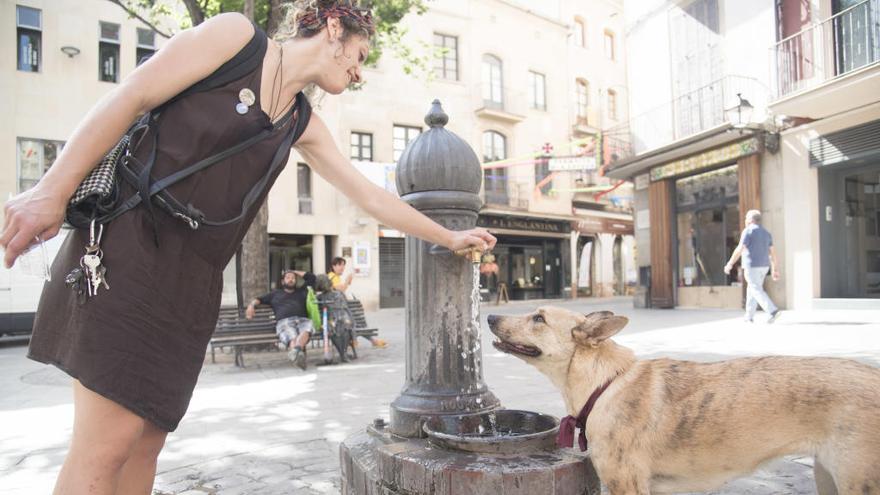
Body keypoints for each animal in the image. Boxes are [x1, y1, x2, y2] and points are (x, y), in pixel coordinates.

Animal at [488, 308, 880, 494]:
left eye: (538, 318)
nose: (490, 316)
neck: (605, 383)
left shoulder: (626, 486)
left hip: (856, 481)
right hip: (827, 477)